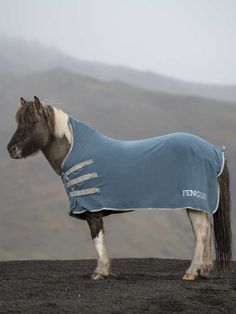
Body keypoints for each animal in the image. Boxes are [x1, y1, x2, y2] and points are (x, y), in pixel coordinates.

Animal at [7, 97, 232, 280]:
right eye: (19, 122)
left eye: (33, 122)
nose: (11, 149)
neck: (75, 151)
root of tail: (213, 150)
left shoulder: (92, 210)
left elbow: (97, 239)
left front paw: (100, 272)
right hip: (199, 204)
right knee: (206, 229)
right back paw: (204, 270)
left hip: (193, 201)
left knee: (201, 232)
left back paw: (192, 272)